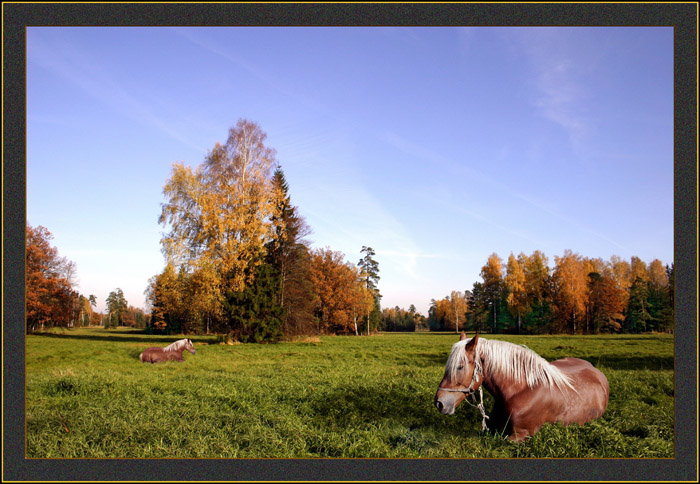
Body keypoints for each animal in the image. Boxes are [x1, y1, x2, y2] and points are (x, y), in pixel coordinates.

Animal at [434, 332, 608, 442]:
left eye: (460, 366)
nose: (439, 403)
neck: (520, 391)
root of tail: (597, 372)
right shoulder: (490, 429)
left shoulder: (520, 436)